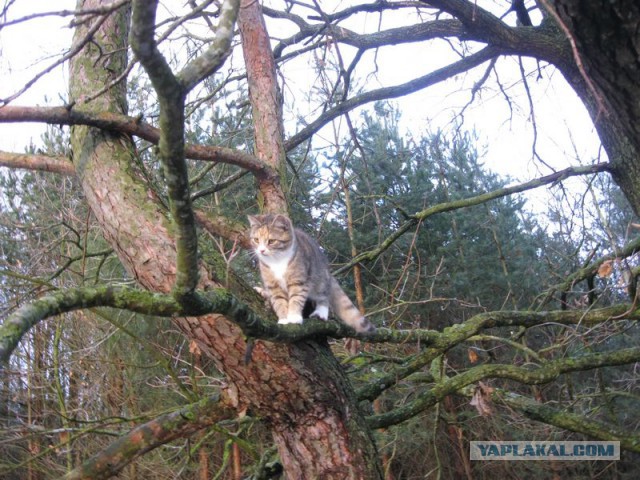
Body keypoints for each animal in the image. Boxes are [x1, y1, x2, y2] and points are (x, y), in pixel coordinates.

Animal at [245, 214, 376, 334]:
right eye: (256, 240)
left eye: (271, 241)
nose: (261, 250)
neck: (276, 261)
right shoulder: (273, 285)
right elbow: (279, 301)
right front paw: (283, 319)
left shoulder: (299, 281)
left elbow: (296, 298)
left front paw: (294, 316)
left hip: (320, 279)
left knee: (324, 296)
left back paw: (321, 312)